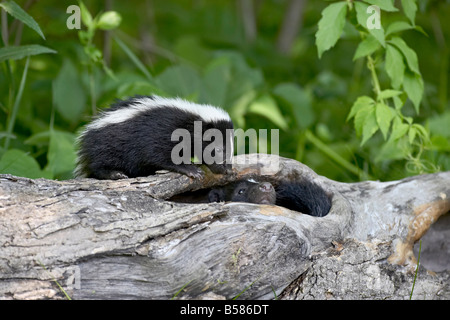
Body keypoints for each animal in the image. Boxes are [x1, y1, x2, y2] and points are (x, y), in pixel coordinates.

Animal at [74, 95, 234, 180]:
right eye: (218, 149)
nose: (227, 170)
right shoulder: (159, 132)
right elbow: (159, 153)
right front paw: (192, 170)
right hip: (110, 143)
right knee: (101, 163)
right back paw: (116, 173)